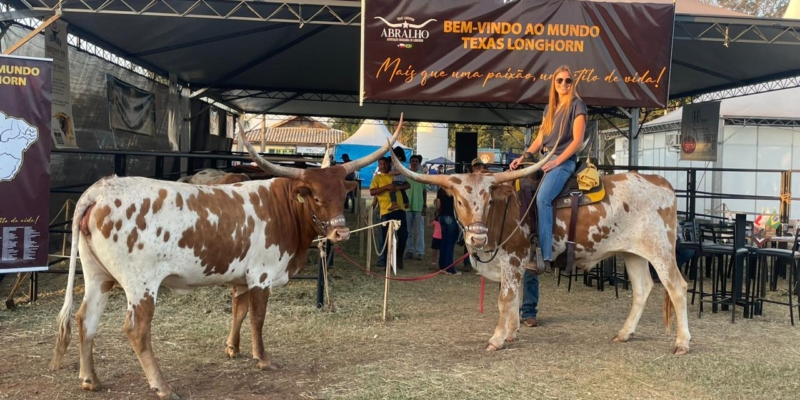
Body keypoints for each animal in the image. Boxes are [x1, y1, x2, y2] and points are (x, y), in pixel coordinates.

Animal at [51, 114, 406, 398]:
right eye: (316, 198)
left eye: (341, 196)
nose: (340, 234)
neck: (281, 206)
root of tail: (100, 189)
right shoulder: (261, 276)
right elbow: (258, 318)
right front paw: (263, 359)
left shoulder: (242, 277)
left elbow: (238, 310)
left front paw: (232, 348)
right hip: (141, 284)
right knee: (136, 330)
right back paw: (162, 386)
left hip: (98, 275)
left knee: (85, 318)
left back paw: (90, 379)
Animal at [390, 151, 692, 356]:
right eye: (460, 201)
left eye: (487, 200)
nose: (477, 237)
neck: (504, 209)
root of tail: (660, 182)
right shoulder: (511, 265)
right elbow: (514, 298)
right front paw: (512, 332)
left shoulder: (513, 259)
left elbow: (505, 299)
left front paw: (497, 338)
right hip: (634, 253)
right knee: (642, 289)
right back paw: (624, 333)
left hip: (661, 251)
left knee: (677, 287)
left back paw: (682, 343)